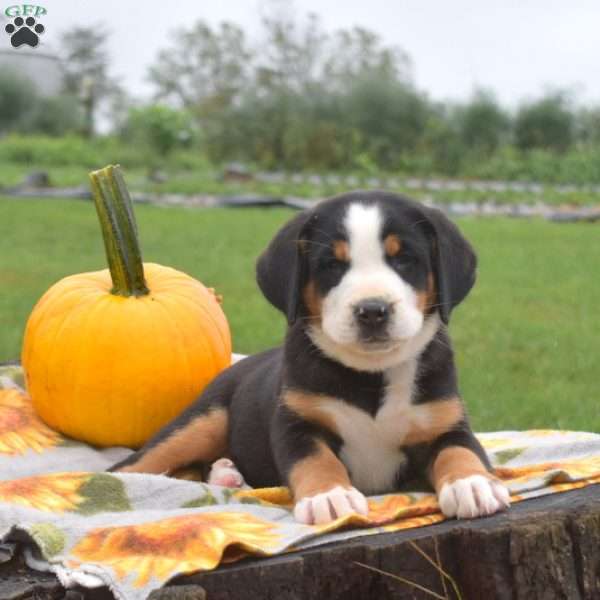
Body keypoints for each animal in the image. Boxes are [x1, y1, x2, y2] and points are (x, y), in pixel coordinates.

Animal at [110, 192, 508, 524]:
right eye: (332, 264)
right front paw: (329, 496)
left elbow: (461, 451)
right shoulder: (295, 423)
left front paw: (473, 484)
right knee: (136, 466)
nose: (372, 311)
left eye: (405, 259)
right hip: (201, 421)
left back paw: (228, 474)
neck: (371, 377)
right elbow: (316, 458)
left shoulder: (445, 421)